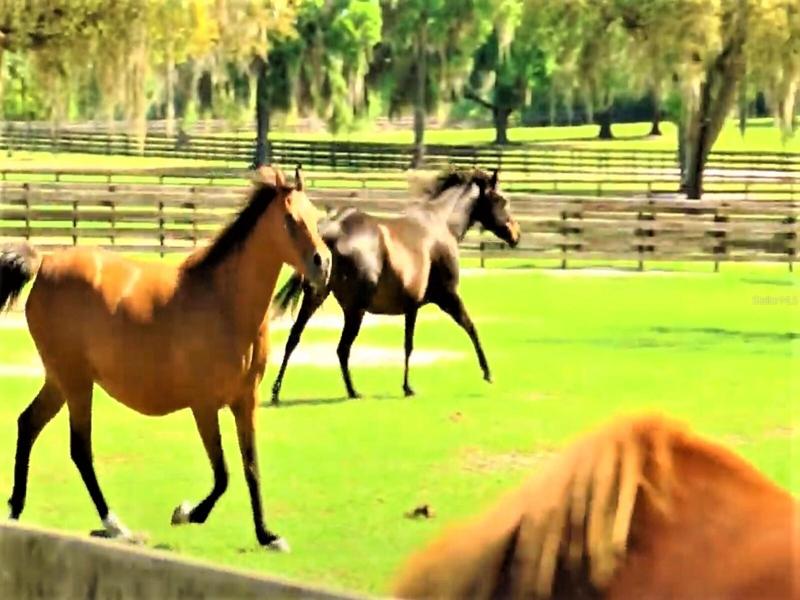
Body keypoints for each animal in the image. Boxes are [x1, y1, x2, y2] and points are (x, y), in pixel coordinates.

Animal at [1, 165, 331, 551]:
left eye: (316, 216)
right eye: (290, 219)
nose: (324, 263)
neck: (224, 303)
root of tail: (44, 262)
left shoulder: (245, 401)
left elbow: (251, 468)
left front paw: (267, 536)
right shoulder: (204, 406)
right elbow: (223, 475)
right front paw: (186, 513)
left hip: (59, 380)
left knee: (28, 425)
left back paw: (16, 509)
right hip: (77, 383)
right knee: (80, 449)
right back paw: (115, 526)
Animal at [270, 168, 520, 403]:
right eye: (502, 200)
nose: (516, 234)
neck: (441, 223)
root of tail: (332, 230)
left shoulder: (412, 306)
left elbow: (408, 344)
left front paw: (407, 386)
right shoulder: (447, 296)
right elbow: (469, 327)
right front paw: (487, 373)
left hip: (315, 297)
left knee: (294, 338)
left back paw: (276, 392)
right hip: (355, 310)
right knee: (342, 348)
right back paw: (353, 391)